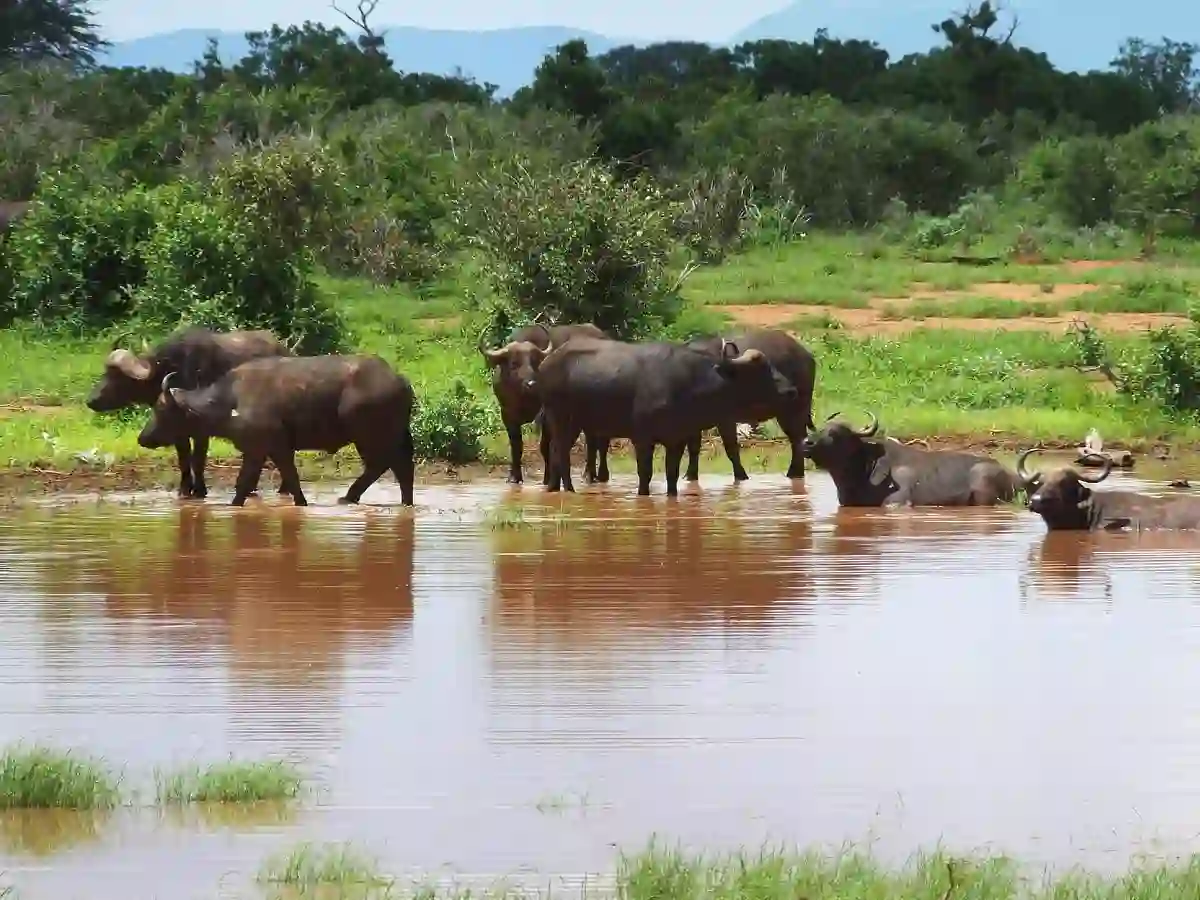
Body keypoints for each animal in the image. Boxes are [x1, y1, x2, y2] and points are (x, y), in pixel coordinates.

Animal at [86, 326, 291, 498]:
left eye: (117, 377)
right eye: (105, 372)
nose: (91, 400)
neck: (177, 370)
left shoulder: (202, 428)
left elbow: (198, 459)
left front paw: (200, 490)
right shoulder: (177, 429)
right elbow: (183, 458)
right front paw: (184, 490)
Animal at [137, 354, 416, 507]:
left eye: (161, 410)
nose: (142, 438)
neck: (230, 400)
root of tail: (398, 379)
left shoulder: (261, 449)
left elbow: (246, 483)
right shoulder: (272, 450)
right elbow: (287, 478)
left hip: (371, 437)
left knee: (388, 465)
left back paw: (352, 497)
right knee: (396, 467)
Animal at [479, 322, 613, 485]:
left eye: (534, 362)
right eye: (514, 363)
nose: (531, 383)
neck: (524, 399)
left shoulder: (547, 417)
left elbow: (545, 447)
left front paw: (548, 478)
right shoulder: (508, 415)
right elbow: (516, 446)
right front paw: (514, 477)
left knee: (602, 442)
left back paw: (600, 475)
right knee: (592, 441)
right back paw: (589, 474)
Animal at [536, 335, 799, 496]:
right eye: (761, 370)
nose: (791, 390)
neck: (688, 384)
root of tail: (546, 363)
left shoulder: (677, 439)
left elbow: (672, 475)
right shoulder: (642, 439)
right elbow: (645, 474)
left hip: (574, 423)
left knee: (557, 452)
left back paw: (555, 488)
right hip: (559, 417)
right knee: (560, 452)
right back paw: (568, 490)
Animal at [683, 328, 817, 482]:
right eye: (762, 370)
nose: (790, 390)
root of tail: (806, 355)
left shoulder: (726, 419)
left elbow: (731, 448)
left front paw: (741, 477)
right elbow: (694, 448)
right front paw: (690, 476)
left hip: (793, 411)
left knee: (798, 439)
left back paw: (794, 474)